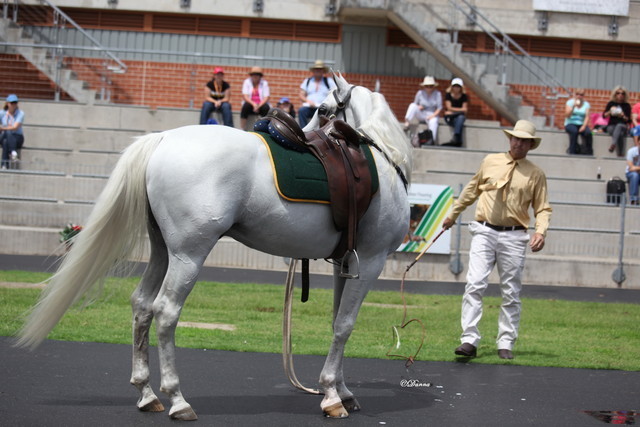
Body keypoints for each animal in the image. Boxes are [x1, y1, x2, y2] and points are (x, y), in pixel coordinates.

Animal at [15, 74, 413, 420]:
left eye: (324, 109)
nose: (306, 130)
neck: (379, 159)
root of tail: (163, 138)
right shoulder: (372, 261)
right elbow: (345, 325)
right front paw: (332, 395)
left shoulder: (344, 263)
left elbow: (336, 322)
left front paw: (342, 391)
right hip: (189, 255)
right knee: (165, 312)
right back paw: (177, 400)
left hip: (164, 252)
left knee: (142, 306)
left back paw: (147, 394)